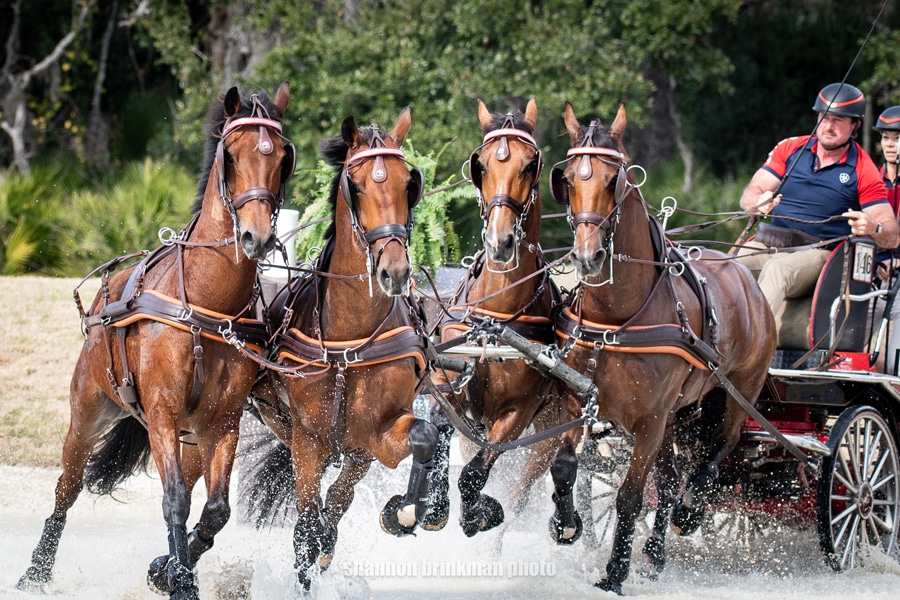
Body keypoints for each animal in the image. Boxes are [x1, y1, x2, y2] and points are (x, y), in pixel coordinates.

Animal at [15, 83, 293, 600]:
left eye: (283, 158)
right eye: (231, 154)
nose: (257, 235)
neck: (207, 303)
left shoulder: (223, 423)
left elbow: (216, 510)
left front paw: (169, 569)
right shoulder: (162, 413)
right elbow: (175, 501)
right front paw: (180, 581)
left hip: (192, 434)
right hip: (89, 409)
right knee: (68, 485)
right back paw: (36, 570)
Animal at [246, 107, 436, 590]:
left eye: (408, 183)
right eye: (358, 183)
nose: (395, 272)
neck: (349, 340)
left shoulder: (375, 439)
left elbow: (425, 436)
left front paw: (406, 512)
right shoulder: (307, 438)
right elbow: (305, 527)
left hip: (353, 452)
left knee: (336, 503)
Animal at [426, 98, 566, 538]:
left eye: (530, 165)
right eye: (481, 164)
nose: (500, 241)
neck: (498, 314)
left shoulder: (517, 414)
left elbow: (474, 477)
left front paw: (476, 514)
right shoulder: (450, 383)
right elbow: (436, 424)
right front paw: (431, 507)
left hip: (545, 439)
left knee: (520, 490)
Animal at [547, 102, 776, 594]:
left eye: (614, 180)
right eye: (567, 178)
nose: (588, 257)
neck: (617, 319)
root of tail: (744, 273)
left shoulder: (649, 421)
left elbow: (631, 496)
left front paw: (614, 573)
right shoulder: (578, 399)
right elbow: (565, 466)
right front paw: (566, 524)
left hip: (737, 391)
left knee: (721, 446)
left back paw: (689, 511)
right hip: (675, 414)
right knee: (670, 481)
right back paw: (653, 554)